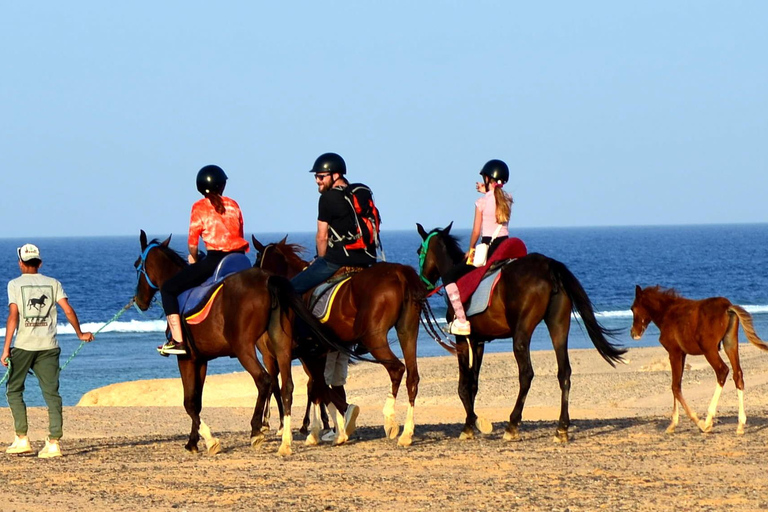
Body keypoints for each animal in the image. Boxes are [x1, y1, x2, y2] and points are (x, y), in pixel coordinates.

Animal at [133, 230, 348, 454]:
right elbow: (197, 401)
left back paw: (258, 430)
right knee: (292, 386)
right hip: (284, 346)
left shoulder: (186, 359)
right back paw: (293, 438)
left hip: (245, 349)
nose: (139, 300)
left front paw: (207, 440)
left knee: (266, 381)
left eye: (136, 264)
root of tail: (268, 281)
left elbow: (189, 402)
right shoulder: (202, 359)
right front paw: (194, 439)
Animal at [255, 234, 428, 446]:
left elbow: (319, 387)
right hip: (408, 330)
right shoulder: (320, 352)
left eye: (256, 259)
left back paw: (389, 419)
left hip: (374, 337)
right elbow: (321, 387)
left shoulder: (307, 354)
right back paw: (406, 433)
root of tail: (399, 273)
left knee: (396, 369)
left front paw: (329, 428)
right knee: (412, 376)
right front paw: (335, 427)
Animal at [414, 224, 624, 444]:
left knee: (526, 374)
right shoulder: (479, 342)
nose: (422, 284)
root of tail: (548, 266)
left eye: (419, 251)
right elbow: (473, 384)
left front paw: (470, 424)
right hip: (558, 326)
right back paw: (562, 428)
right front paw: (474, 422)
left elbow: (463, 385)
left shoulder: (462, 340)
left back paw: (512, 425)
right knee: (564, 372)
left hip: (521, 333)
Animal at [632, 286, 768, 434]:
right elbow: (676, 385)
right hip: (730, 344)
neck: (667, 312)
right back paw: (740, 425)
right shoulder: (682, 354)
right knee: (737, 374)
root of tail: (728, 307)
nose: (633, 333)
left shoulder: (674, 352)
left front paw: (698, 422)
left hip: (709, 350)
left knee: (722, 371)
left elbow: (675, 387)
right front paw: (673, 424)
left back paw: (708, 421)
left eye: (633, 308)